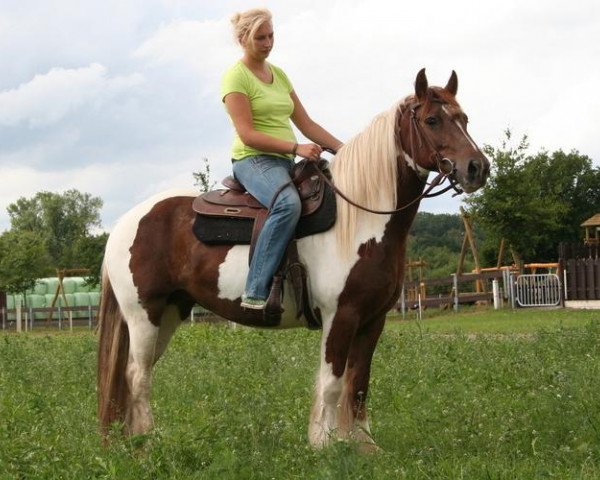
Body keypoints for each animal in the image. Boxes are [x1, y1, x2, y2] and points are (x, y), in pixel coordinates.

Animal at [98, 69, 490, 448]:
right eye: (431, 120)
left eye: (464, 118)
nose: (477, 168)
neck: (361, 220)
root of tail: (123, 224)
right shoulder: (340, 316)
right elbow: (332, 384)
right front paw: (326, 445)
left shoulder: (373, 320)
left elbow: (359, 383)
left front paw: (365, 445)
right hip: (143, 312)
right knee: (137, 376)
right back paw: (147, 443)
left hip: (169, 312)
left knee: (139, 372)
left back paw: (132, 440)